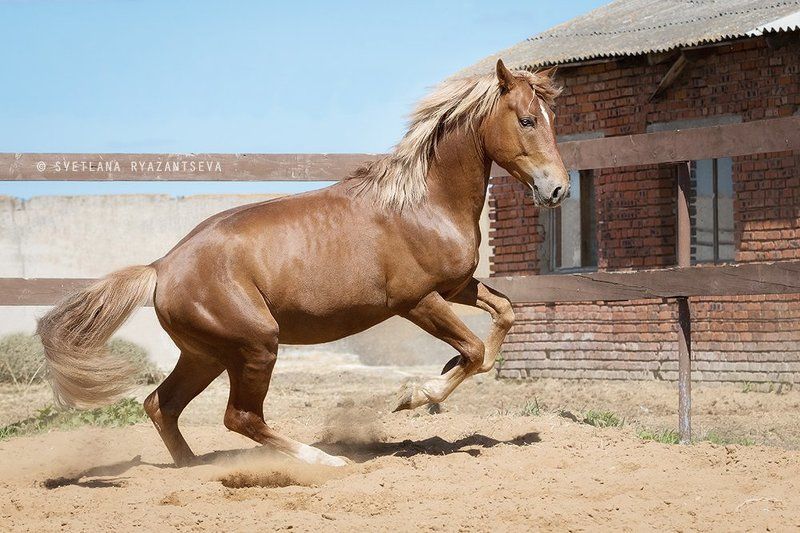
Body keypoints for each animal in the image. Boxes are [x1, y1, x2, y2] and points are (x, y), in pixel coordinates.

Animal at [38, 59, 569, 467]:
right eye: (526, 120)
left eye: (552, 118)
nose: (558, 189)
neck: (423, 203)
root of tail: (161, 268)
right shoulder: (417, 301)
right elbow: (476, 351)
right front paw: (413, 395)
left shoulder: (458, 286)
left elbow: (504, 316)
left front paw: (442, 370)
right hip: (255, 346)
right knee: (240, 417)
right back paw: (324, 460)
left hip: (205, 355)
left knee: (161, 405)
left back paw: (194, 468)